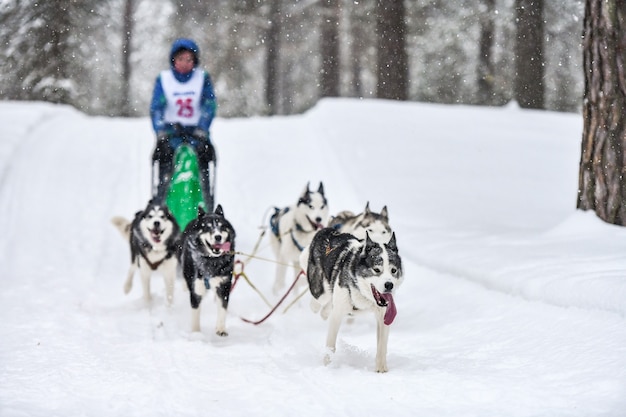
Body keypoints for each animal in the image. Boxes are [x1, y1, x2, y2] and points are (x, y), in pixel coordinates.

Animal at [179, 204, 235, 334]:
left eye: (221, 226)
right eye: (207, 227)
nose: (218, 236)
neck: (211, 260)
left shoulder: (224, 286)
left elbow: (223, 308)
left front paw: (221, 328)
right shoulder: (196, 289)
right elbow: (195, 314)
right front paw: (196, 334)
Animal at [300, 226, 402, 372]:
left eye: (393, 270)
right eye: (377, 270)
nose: (389, 285)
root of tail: (326, 231)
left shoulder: (383, 316)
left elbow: (382, 347)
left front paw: (381, 369)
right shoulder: (337, 315)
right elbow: (331, 345)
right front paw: (327, 366)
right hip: (319, 292)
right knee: (316, 303)